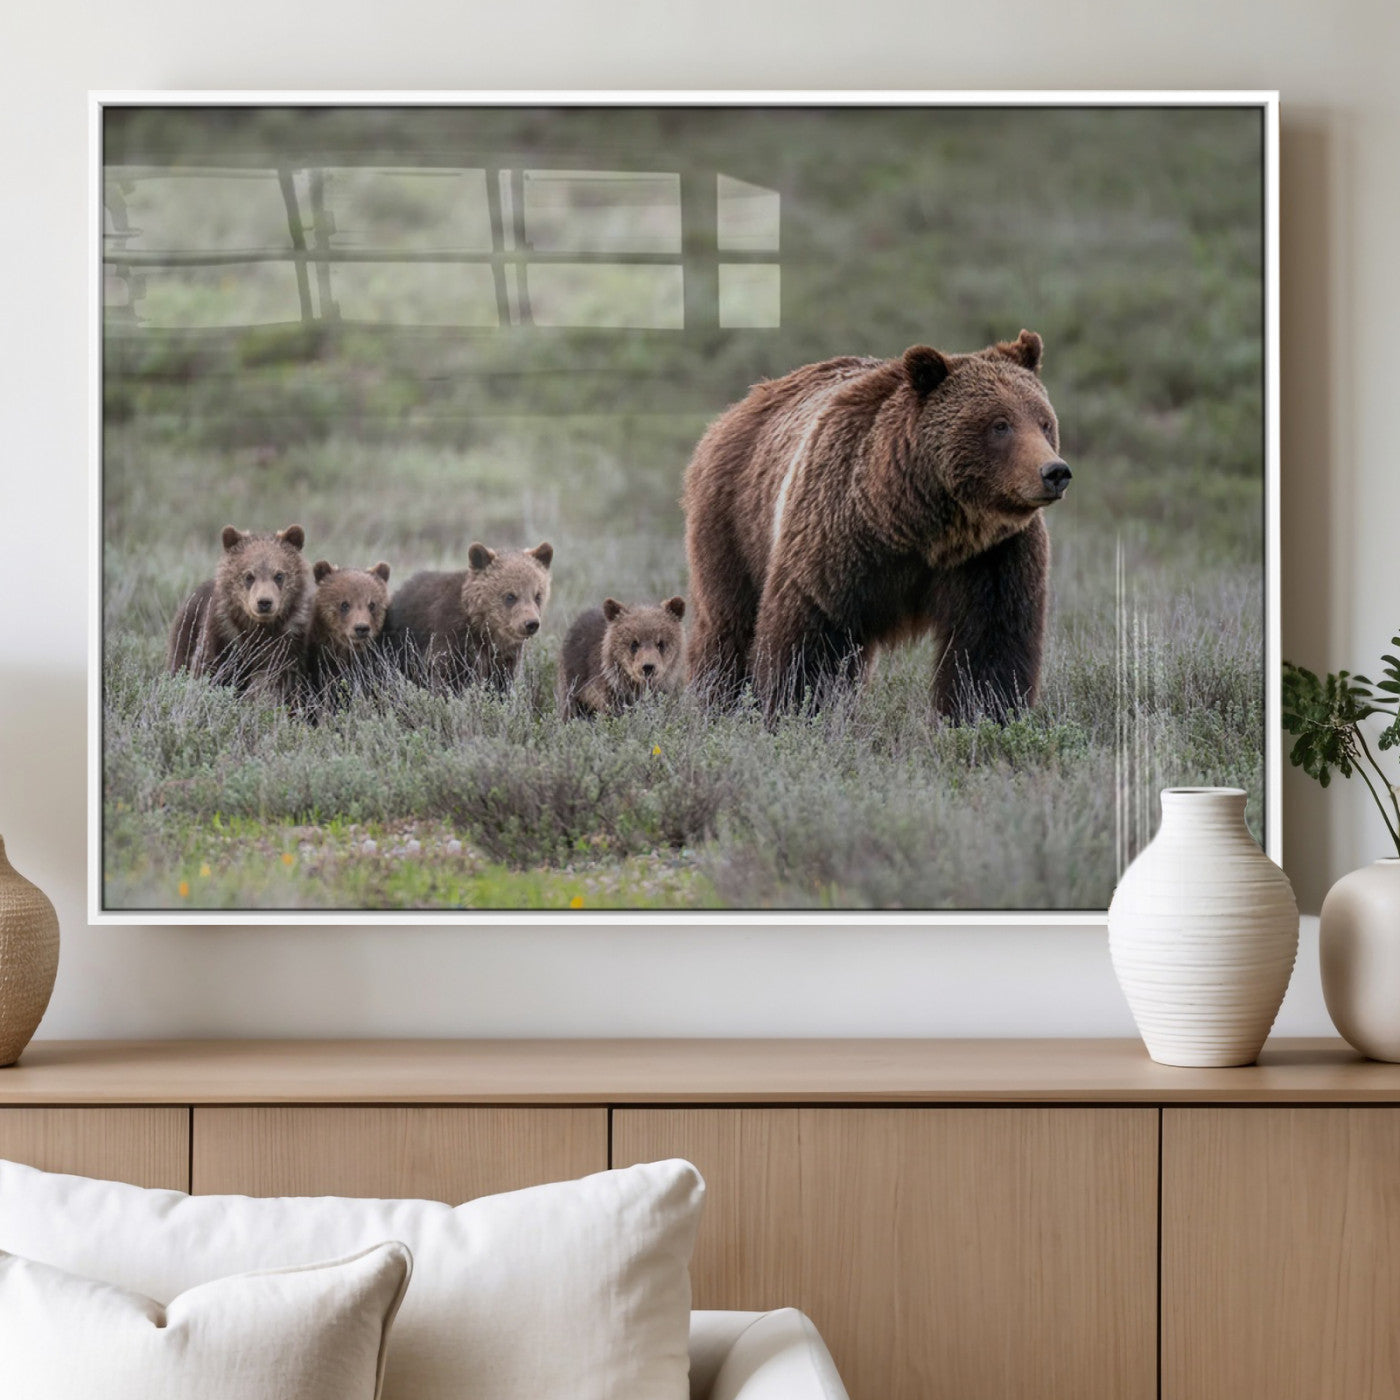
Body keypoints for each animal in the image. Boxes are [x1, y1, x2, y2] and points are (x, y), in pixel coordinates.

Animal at [167, 524, 314, 701]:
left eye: (279, 575)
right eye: (249, 576)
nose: (264, 602)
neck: (258, 627)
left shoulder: (288, 639)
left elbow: (279, 679)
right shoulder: (223, 632)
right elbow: (208, 668)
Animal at [384, 541, 553, 691]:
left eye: (538, 595)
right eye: (510, 596)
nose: (531, 623)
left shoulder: (504, 657)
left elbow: (501, 682)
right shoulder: (450, 639)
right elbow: (446, 678)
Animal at [682, 330, 1071, 721]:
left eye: (1044, 422)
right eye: (1000, 424)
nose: (1054, 472)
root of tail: (740, 406)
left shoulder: (992, 554)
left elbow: (990, 644)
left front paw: (983, 714)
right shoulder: (836, 538)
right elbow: (809, 636)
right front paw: (796, 709)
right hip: (734, 520)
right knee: (728, 624)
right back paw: (717, 699)